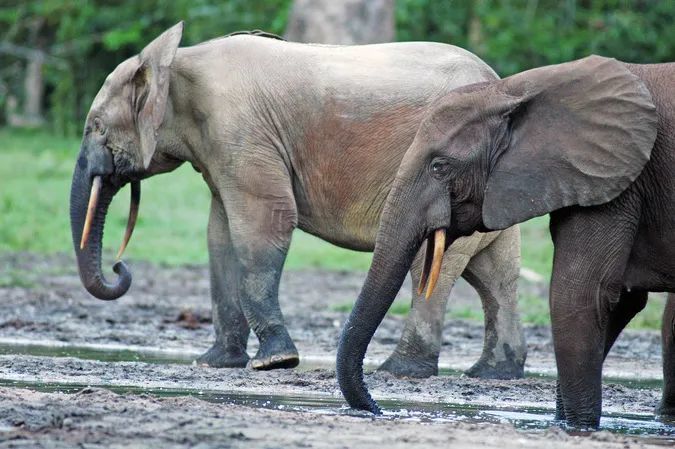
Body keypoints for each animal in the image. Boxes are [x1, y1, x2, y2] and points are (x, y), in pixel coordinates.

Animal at [68, 21, 528, 378]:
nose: (119, 266)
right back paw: (493, 373)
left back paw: (400, 371)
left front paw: (274, 363)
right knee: (495, 275)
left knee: (433, 266)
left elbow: (263, 223)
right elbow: (220, 236)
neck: (177, 62)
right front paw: (214, 363)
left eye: (96, 126)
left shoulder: (241, 132)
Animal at [338, 54, 675, 428]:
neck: (513, 90)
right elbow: (622, 300)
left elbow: (581, 294)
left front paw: (577, 427)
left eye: (440, 167)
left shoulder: (617, 182)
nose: (376, 408)